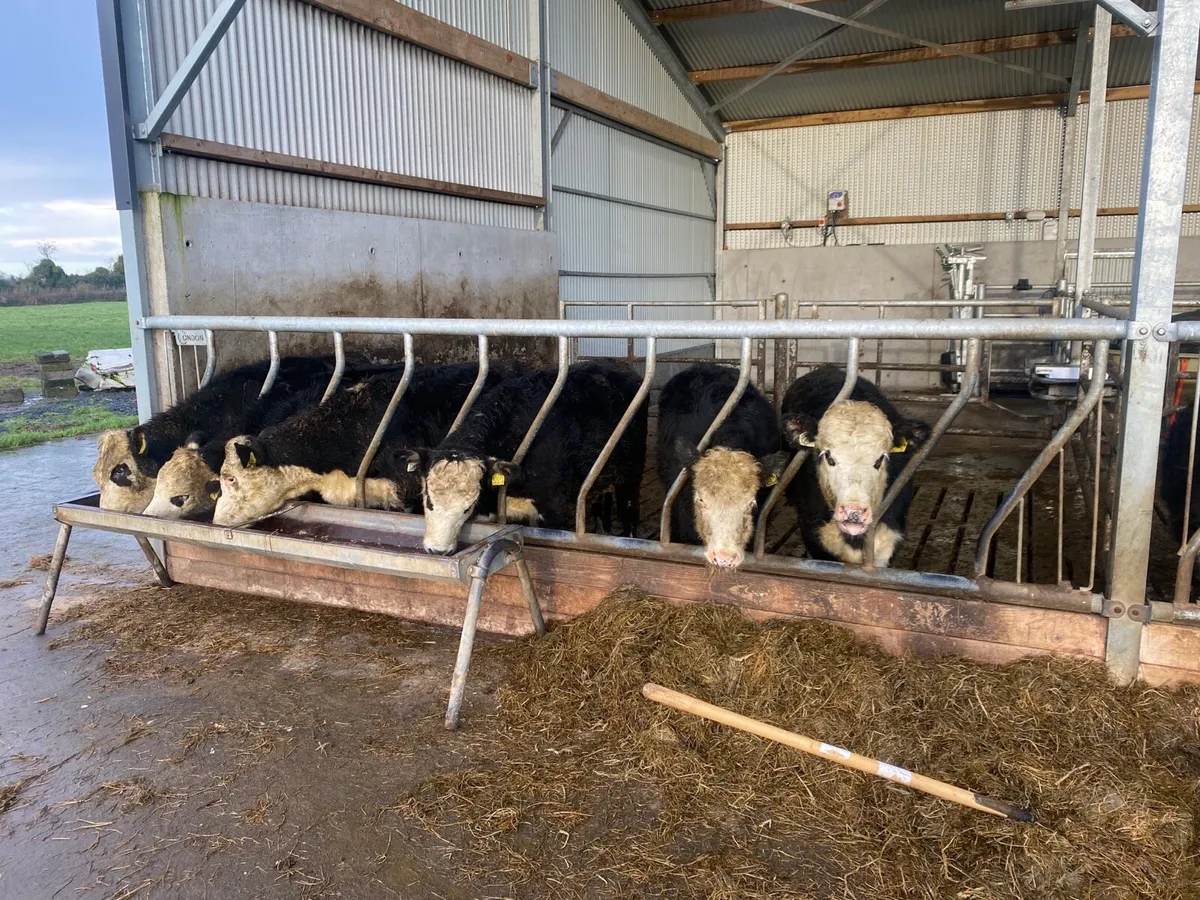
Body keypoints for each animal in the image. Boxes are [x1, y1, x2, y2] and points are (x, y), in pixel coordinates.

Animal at [413, 360, 647, 555]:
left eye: (467, 507)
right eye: (428, 499)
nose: (438, 550)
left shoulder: (554, 507)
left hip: (632, 473)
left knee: (629, 511)